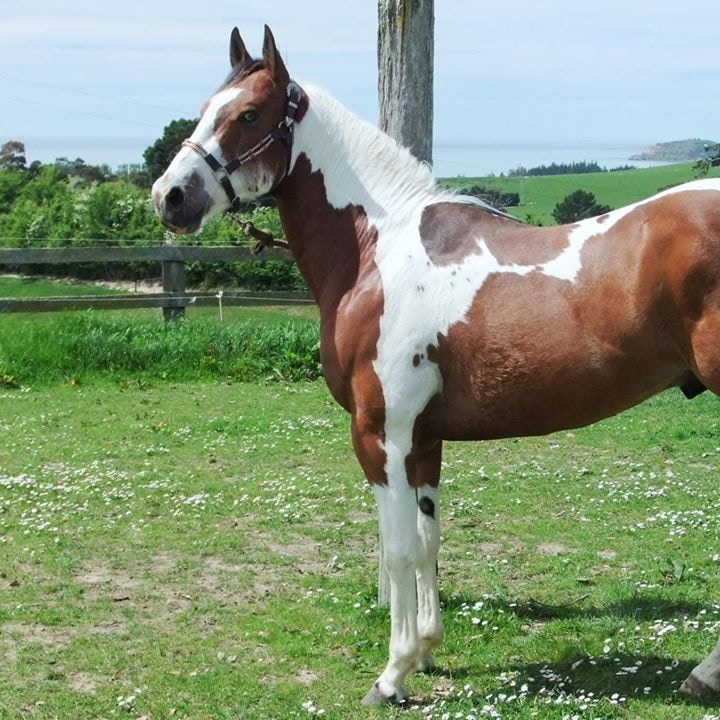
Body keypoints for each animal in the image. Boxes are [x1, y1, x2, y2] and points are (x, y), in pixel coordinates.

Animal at [152, 25, 720, 705]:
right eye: (207, 107)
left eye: (248, 115)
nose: (169, 197)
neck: (377, 251)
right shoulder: (424, 440)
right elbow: (428, 542)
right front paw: (425, 649)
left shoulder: (382, 435)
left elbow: (396, 549)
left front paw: (392, 673)